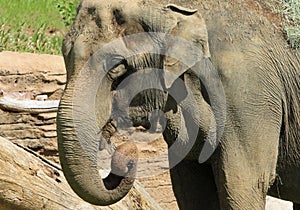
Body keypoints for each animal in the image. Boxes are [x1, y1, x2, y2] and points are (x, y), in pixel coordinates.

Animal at [56, 0, 300, 210]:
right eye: (64, 55)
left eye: (117, 67)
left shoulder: (247, 92)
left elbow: (244, 184)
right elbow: (190, 188)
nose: (128, 152)